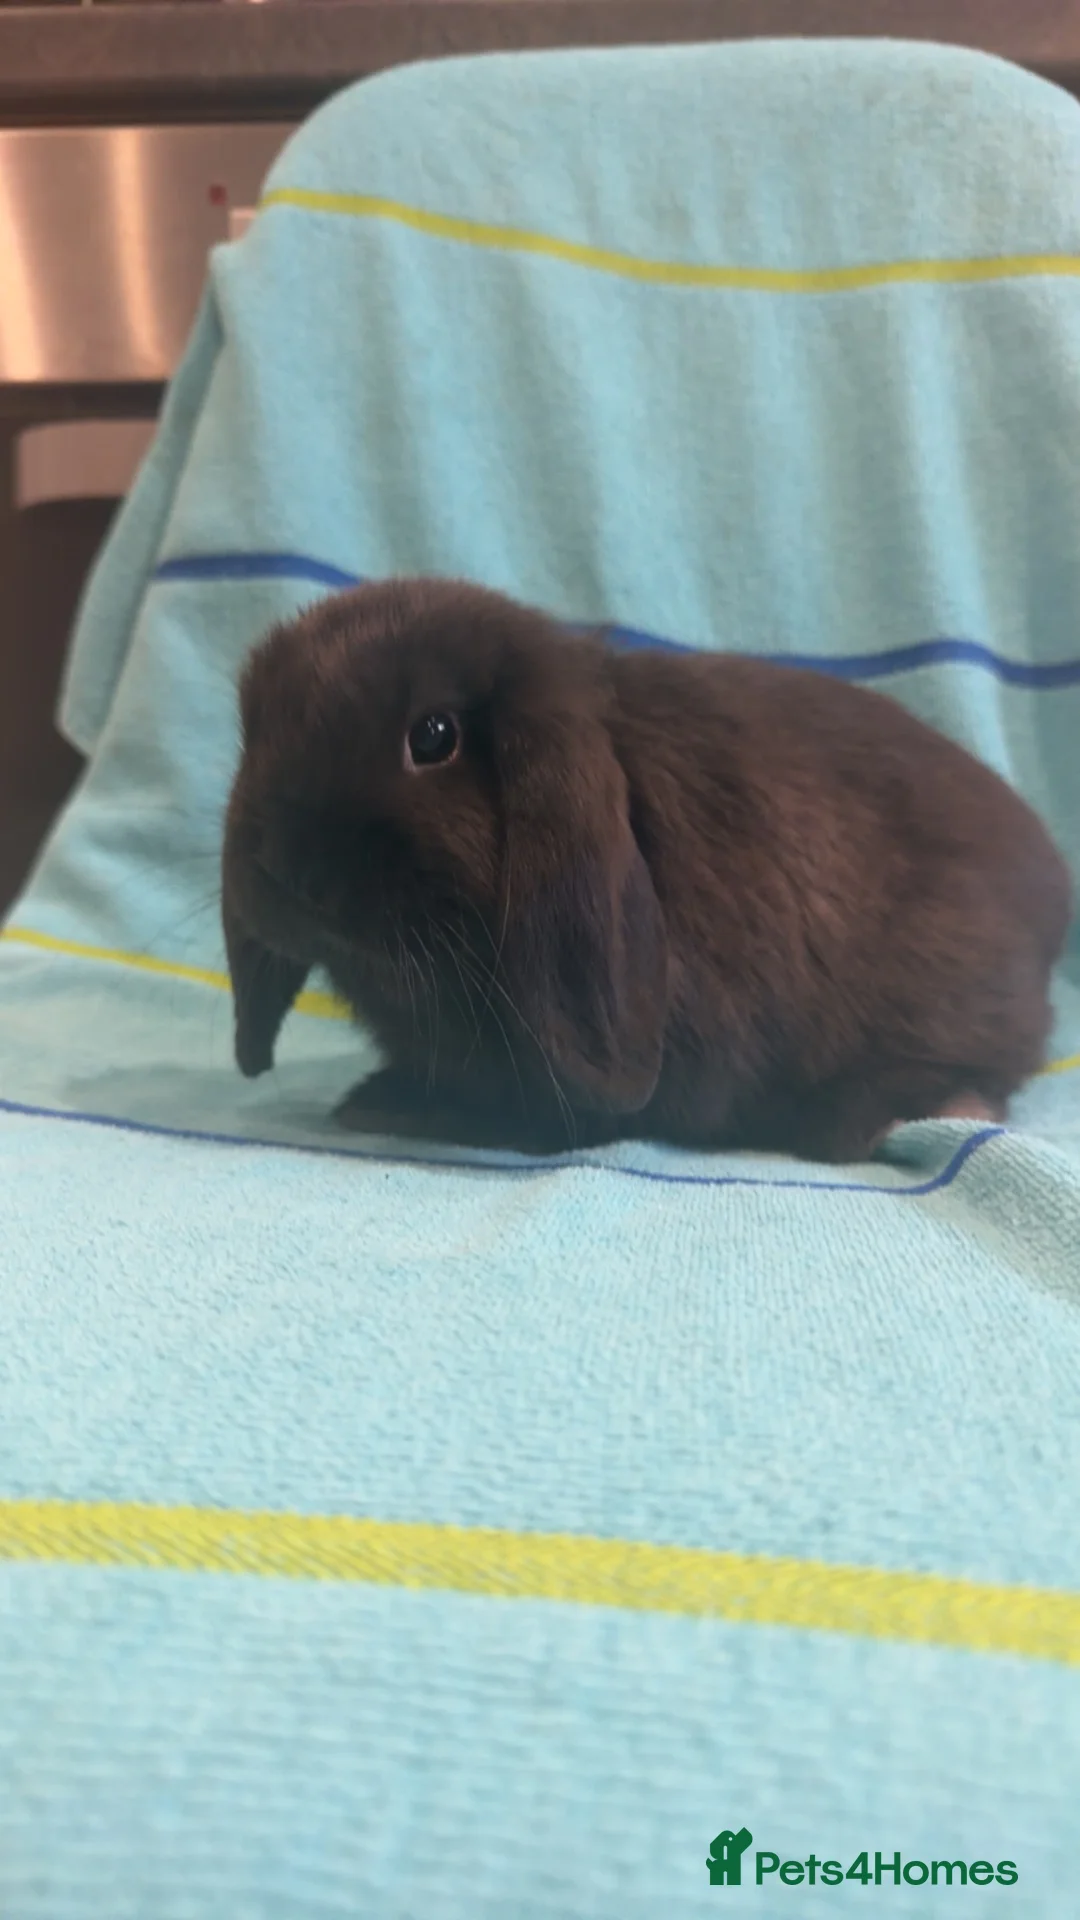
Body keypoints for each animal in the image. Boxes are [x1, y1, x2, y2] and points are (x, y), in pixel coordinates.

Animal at [221, 577, 1072, 1162]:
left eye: (433, 736)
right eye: (257, 728)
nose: (290, 868)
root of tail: (1054, 884)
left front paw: (396, 1110)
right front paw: (376, 1098)